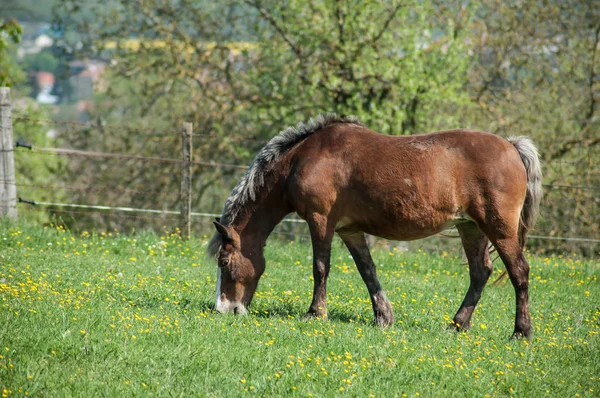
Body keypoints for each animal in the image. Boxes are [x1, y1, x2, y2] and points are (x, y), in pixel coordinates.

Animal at [209, 114, 540, 338]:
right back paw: (457, 324)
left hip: (498, 228)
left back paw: (520, 331)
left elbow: (320, 267)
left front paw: (315, 313)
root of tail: (512, 146)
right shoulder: (349, 230)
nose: (223, 309)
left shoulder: (320, 221)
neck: (304, 158)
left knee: (519, 271)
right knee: (480, 272)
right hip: (470, 227)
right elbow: (367, 271)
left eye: (224, 262)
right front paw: (383, 317)